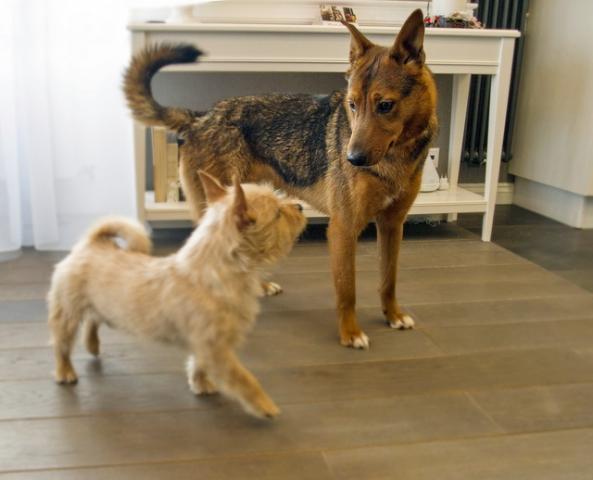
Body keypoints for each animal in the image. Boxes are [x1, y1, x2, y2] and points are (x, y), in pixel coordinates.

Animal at [47, 172, 306, 418]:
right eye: (278, 213)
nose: (300, 206)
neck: (213, 272)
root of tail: (92, 243)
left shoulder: (206, 346)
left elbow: (198, 364)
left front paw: (200, 384)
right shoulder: (216, 348)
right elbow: (243, 377)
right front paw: (263, 404)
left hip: (102, 306)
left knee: (93, 320)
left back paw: (91, 345)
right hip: (67, 312)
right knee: (62, 343)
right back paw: (65, 371)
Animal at [123, 9, 438, 349]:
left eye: (385, 106)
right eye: (352, 105)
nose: (351, 159)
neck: (396, 156)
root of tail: (200, 116)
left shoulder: (392, 225)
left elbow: (388, 280)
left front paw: (393, 315)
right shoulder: (343, 229)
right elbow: (347, 291)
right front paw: (350, 333)